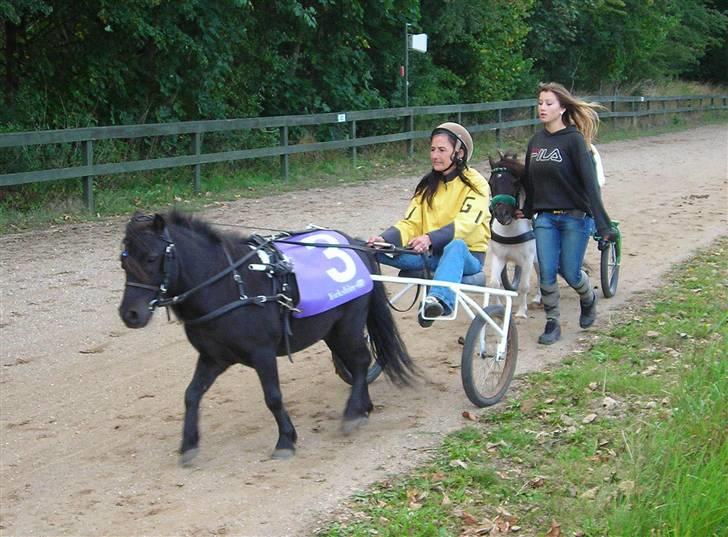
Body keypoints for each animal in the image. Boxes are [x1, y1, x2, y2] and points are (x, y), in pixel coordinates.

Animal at [118, 210, 416, 465]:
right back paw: (363, 407)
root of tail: (357, 245)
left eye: (151, 257)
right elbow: (191, 395)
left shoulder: (262, 353)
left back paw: (354, 412)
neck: (231, 286)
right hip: (331, 328)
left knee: (360, 360)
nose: (130, 314)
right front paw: (189, 444)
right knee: (357, 363)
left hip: (348, 323)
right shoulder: (213, 357)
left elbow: (272, 396)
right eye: (123, 260)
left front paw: (285, 440)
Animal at [487, 152, 540, 318]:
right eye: (491, 183)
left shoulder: (528, 258)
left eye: (515, 183)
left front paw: (522, 312)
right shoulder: (498, 257)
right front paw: (498, 307)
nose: (502, 214)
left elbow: (524, 286)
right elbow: (494, 284)